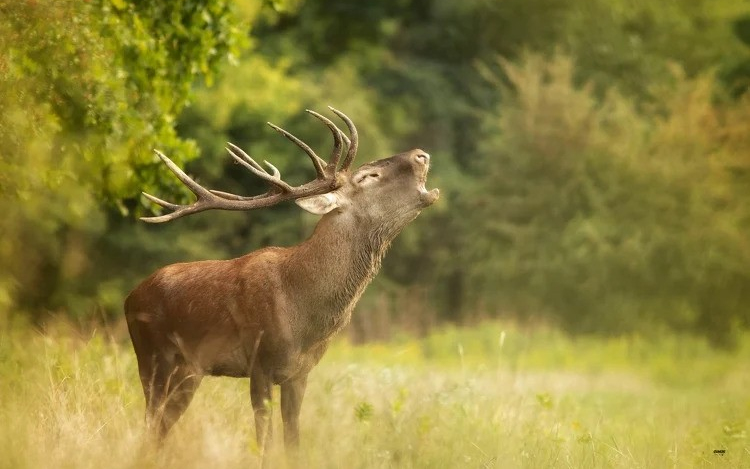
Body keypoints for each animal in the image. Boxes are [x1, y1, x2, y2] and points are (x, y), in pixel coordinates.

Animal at [123, 108, 440, 452]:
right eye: (368, 176)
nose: (421, 154)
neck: (302, 313)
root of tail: (130, 297)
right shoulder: (259, 363)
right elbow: (264, 441)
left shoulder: (299, 374)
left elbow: (293, 442)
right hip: (153, 357)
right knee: (151, 423)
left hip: (189, 370)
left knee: (160, 427)